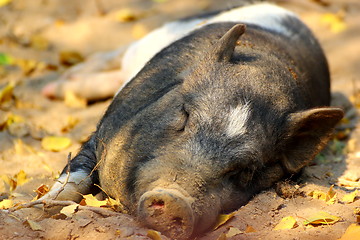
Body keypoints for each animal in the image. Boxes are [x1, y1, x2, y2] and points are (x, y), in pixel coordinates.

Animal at [42, 2, 344, 240]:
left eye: (246, 170)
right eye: (185, 116)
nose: (176, 199)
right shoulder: (102, 132)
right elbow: (75, 175)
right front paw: (45, 206)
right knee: (118, 53)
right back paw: (55, 86)